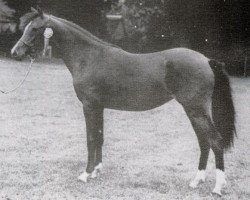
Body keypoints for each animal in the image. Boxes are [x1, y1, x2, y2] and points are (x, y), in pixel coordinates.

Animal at [10, 8, 235, 197]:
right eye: (26, 28)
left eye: (35, 29)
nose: (15, 53)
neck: (88, 57)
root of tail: (207, 60)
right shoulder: (98, 107)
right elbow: (99, 137)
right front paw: (97, 171)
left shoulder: (89, 106)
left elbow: (90, 139)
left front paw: (85, 174)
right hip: (193, 111)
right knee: (204, 142)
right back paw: (197, 181)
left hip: (196, 110)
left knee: (215, 141)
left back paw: (217, 188)